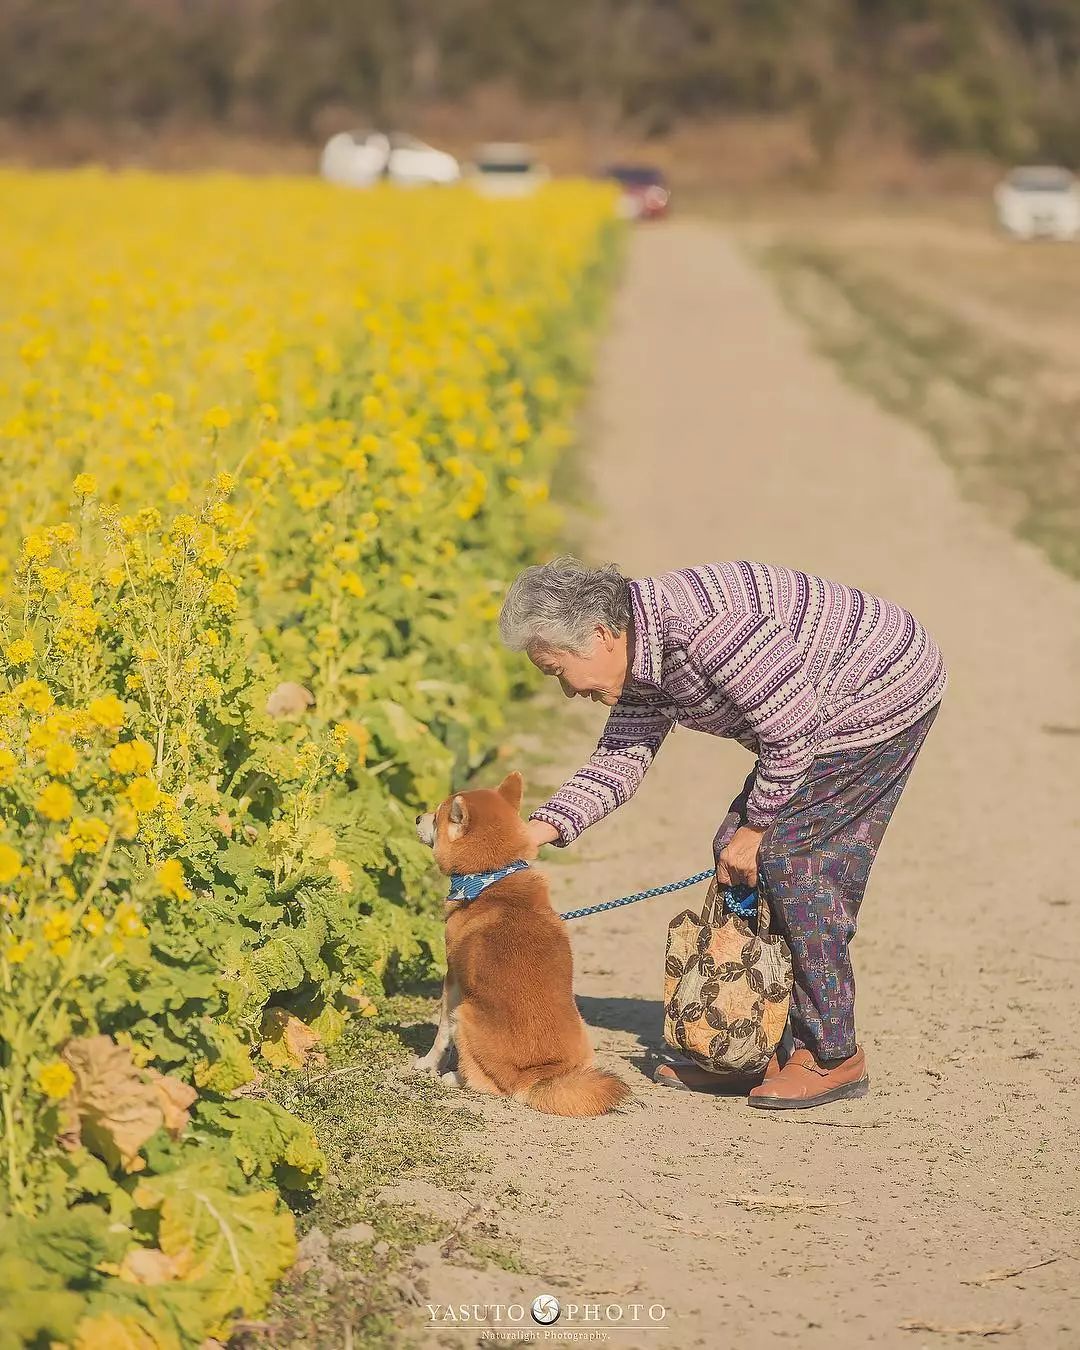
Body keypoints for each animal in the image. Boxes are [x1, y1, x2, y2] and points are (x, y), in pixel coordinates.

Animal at [415, 772, 631, 1117]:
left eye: (436, 816)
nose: (417, 817)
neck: (489, 878)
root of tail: (534, 1077)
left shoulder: (453, 979)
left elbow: (440, 1034)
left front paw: (428, 1064)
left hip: (466, 1015)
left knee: (487, 1084)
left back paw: (454, 1078)